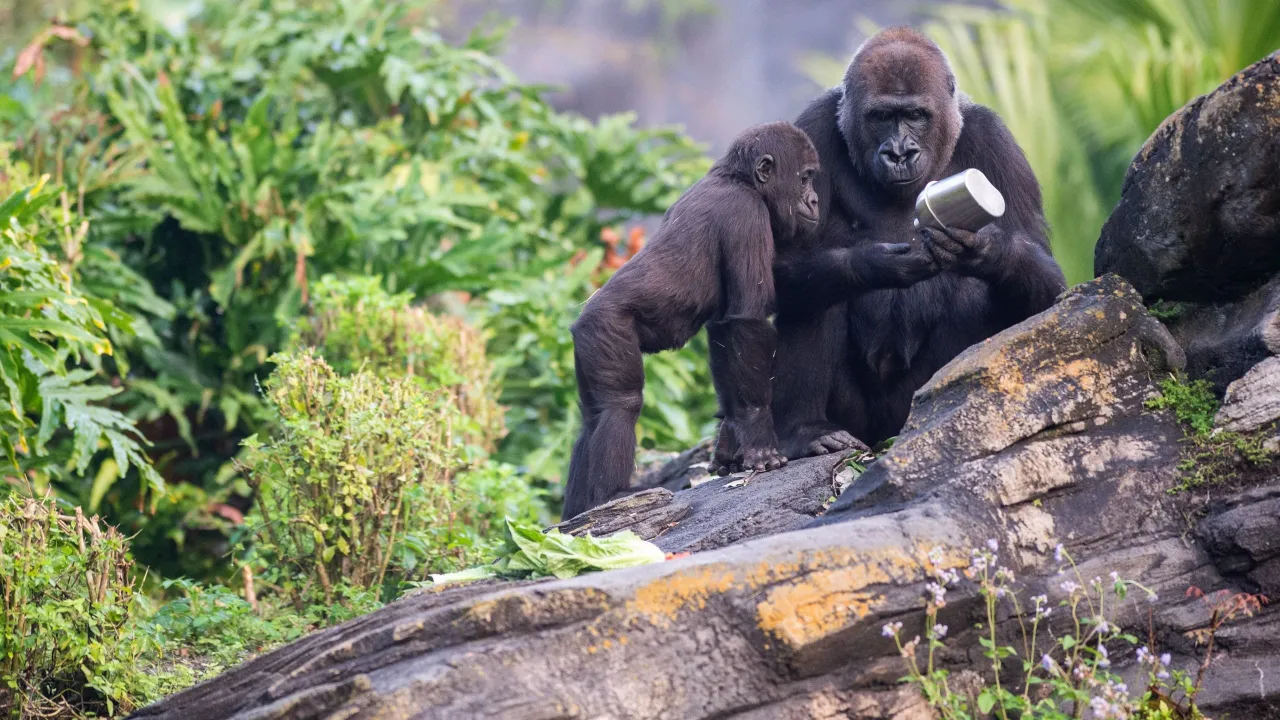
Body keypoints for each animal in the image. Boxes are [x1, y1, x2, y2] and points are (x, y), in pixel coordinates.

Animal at [562, 122, 821, 519]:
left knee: (592, 418)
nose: (815, 201)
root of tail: (583, 316)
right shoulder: (746, 217)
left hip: (588, 341)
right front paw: (760, 439)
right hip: (606, 327)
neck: (739, 179)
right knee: (619, 407)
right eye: (805, 178)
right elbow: (747, 321)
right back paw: (613, 494)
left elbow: (725, 332)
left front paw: (730, 438)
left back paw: (577, 513)